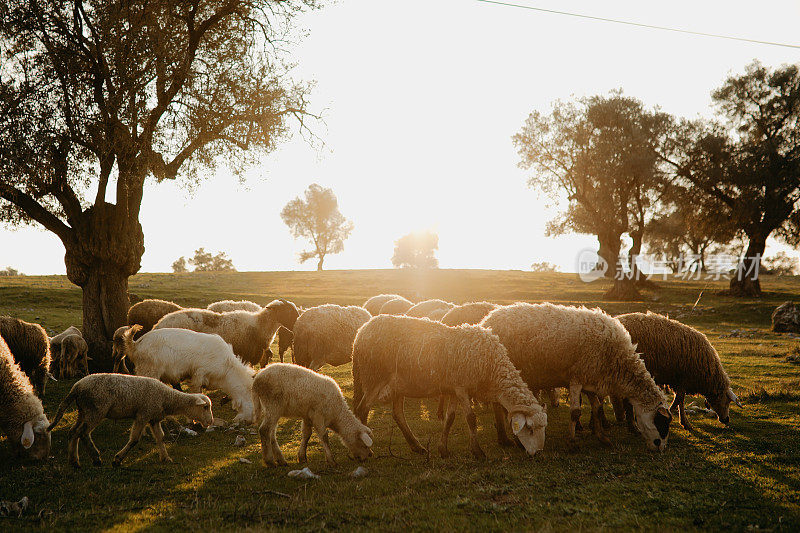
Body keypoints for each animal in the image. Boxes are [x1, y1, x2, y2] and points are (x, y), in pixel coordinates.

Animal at [47, 370, 212, 466]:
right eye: (205, 407)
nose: (210, 422)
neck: (167, 398)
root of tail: (77, 387)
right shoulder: (143, 415)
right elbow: (134, 439)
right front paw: (118, 459)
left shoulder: (154, 418)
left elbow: (160, 437)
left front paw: (165, 458)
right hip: (96, 410)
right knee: (83, 433)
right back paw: (95, 458)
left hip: (83, 411)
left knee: (73, 432)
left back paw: (73, 460)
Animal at [112, 324, 255, 424]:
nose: (250, 422)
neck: (227, 370)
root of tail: (134, 345)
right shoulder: (198, 376)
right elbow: (197, 396)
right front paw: (193, 421)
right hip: (149, 370)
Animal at [482, 302, 676, 450]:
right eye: (661, 423)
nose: (660, 448)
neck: (617, 360)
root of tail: (487, 320)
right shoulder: (576, 378)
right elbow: (575, 412)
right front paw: (572, 442)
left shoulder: (590, 379)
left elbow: (597, 408)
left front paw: (602, 437)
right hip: (498, 371)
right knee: (498, 407)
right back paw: (504, 439)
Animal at [612, 310, 744, 430]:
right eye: (727, 401)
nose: (726, 420)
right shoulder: (683, 378)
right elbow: (679, 399)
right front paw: (673, 414)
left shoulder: (679, 380)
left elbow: (680, 401)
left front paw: (684, 422)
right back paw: (631, 424)